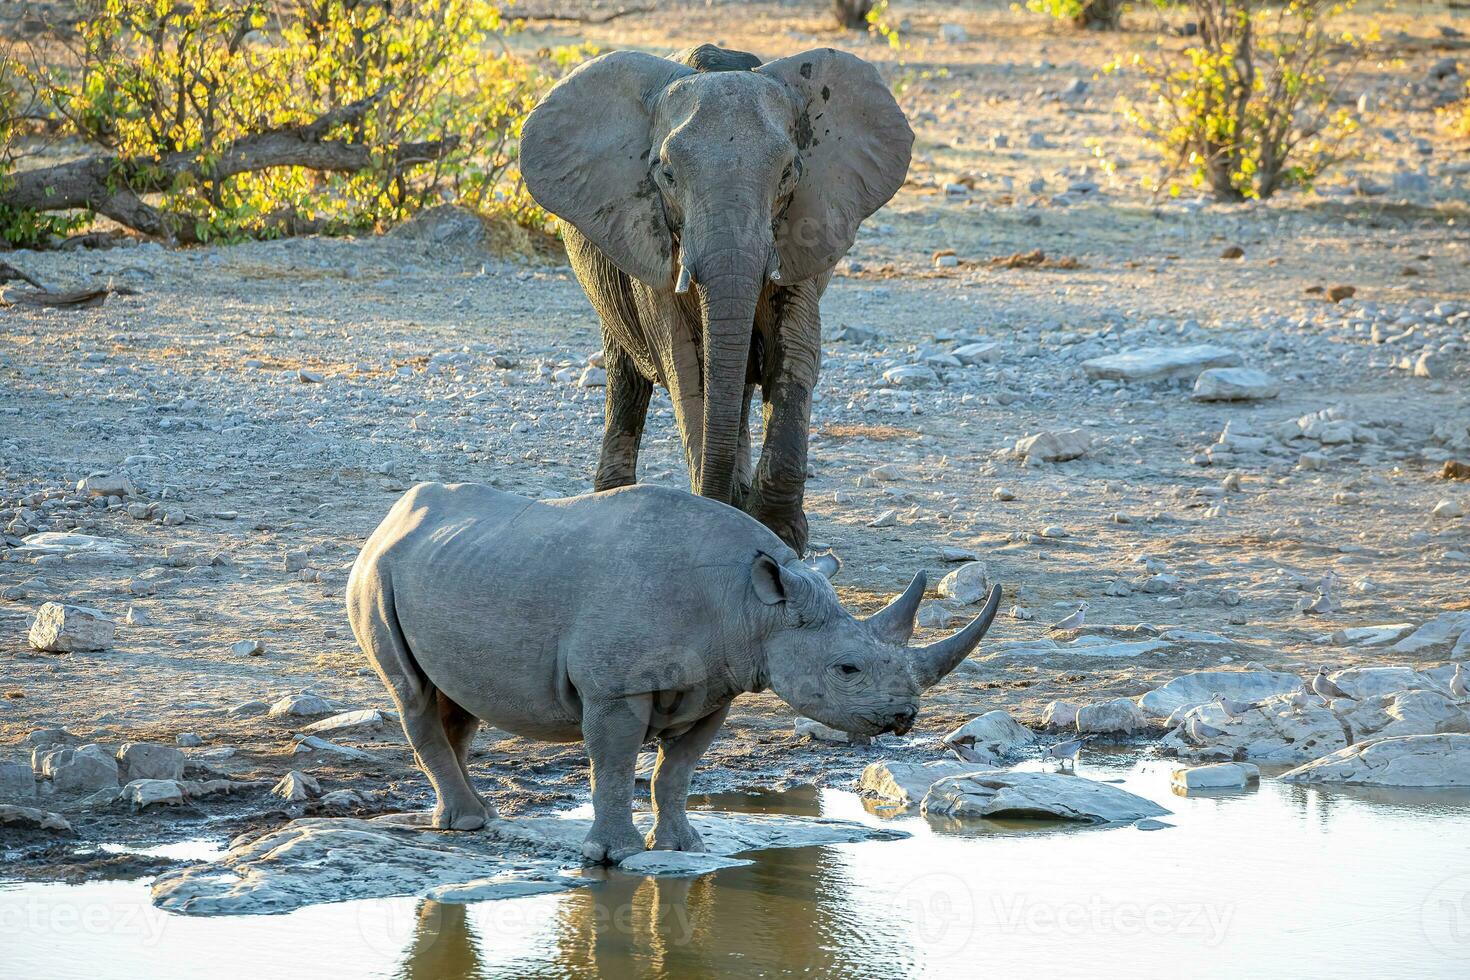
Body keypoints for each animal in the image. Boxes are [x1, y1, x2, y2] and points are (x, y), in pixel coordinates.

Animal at [349, 484, 1005, 863]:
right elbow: (615, 764)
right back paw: (466, 821)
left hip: (451, 564)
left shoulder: (718, 684)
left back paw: (475, 818)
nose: (904, 718)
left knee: (454, 701)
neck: (751, 606)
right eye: (847, 668)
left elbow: (676, 771)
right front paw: (612, 857)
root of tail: (388, 519)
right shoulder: (616, 686)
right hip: (377, 574)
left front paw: (684, 847)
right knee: (412, 694)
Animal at [517, 45, 905, 555]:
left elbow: (794, 355)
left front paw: (777, 532)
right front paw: (721, 515)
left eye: (789, 172)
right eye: (666, 174)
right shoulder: (652, 239)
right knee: (627, 380)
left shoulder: (803, 227)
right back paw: (614, 498)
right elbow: (687, 366)